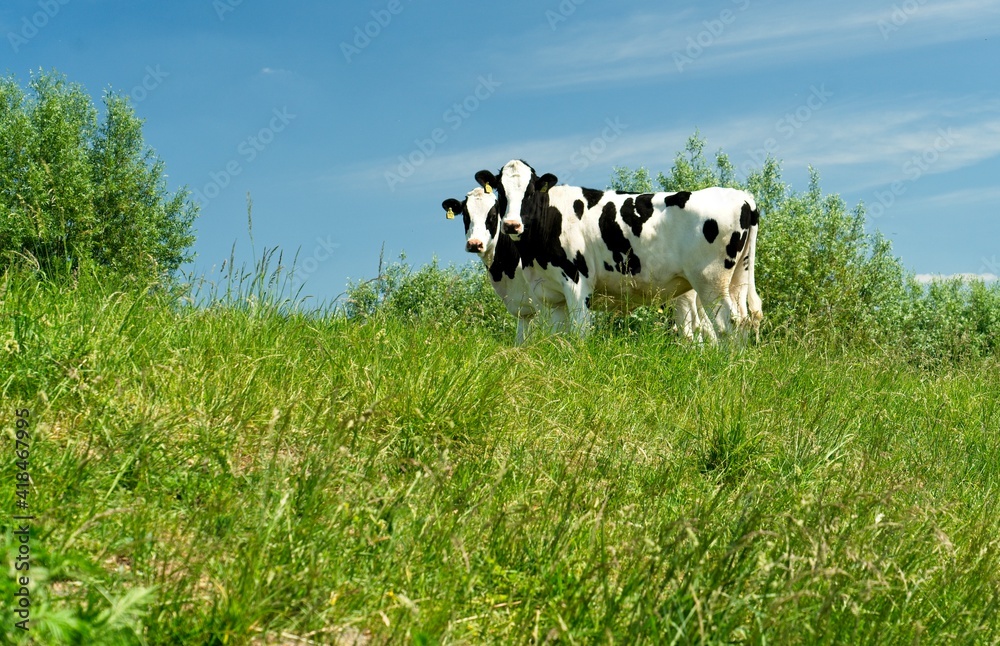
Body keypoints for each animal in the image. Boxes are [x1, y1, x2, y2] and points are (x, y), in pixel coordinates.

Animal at [481, 159, 762, 342]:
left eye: (530, 191)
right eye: (500, 191)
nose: (512, 224)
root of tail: (743, 197)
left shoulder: (577, 282)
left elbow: (579, 332)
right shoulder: (549, 294)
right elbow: (556, 335)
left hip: (710, 280)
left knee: (726, 323)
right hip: (737, 277)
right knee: (743, 319)